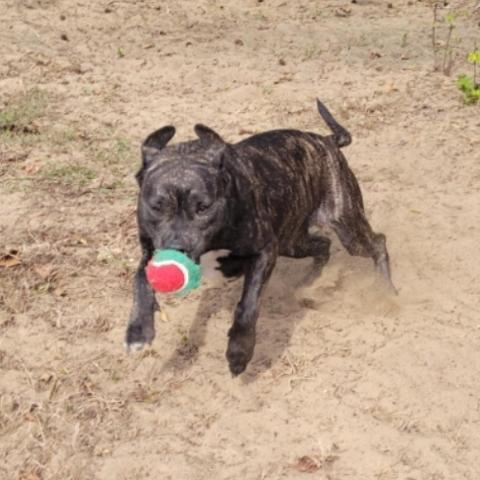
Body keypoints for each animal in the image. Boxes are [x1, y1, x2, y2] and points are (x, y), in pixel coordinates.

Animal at [124, 100, 394, 376]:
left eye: (204, 207)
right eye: (157, 206)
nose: (176, 249)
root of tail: (327, 141)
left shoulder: (264, 253)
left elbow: (249, 304)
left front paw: (239, 351)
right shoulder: (149, 252)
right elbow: (140, 282)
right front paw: (138, 332)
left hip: (347, 228)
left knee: (377, 243)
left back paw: (386, 290)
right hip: (292, 243)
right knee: (323, 244)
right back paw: (311, 282)